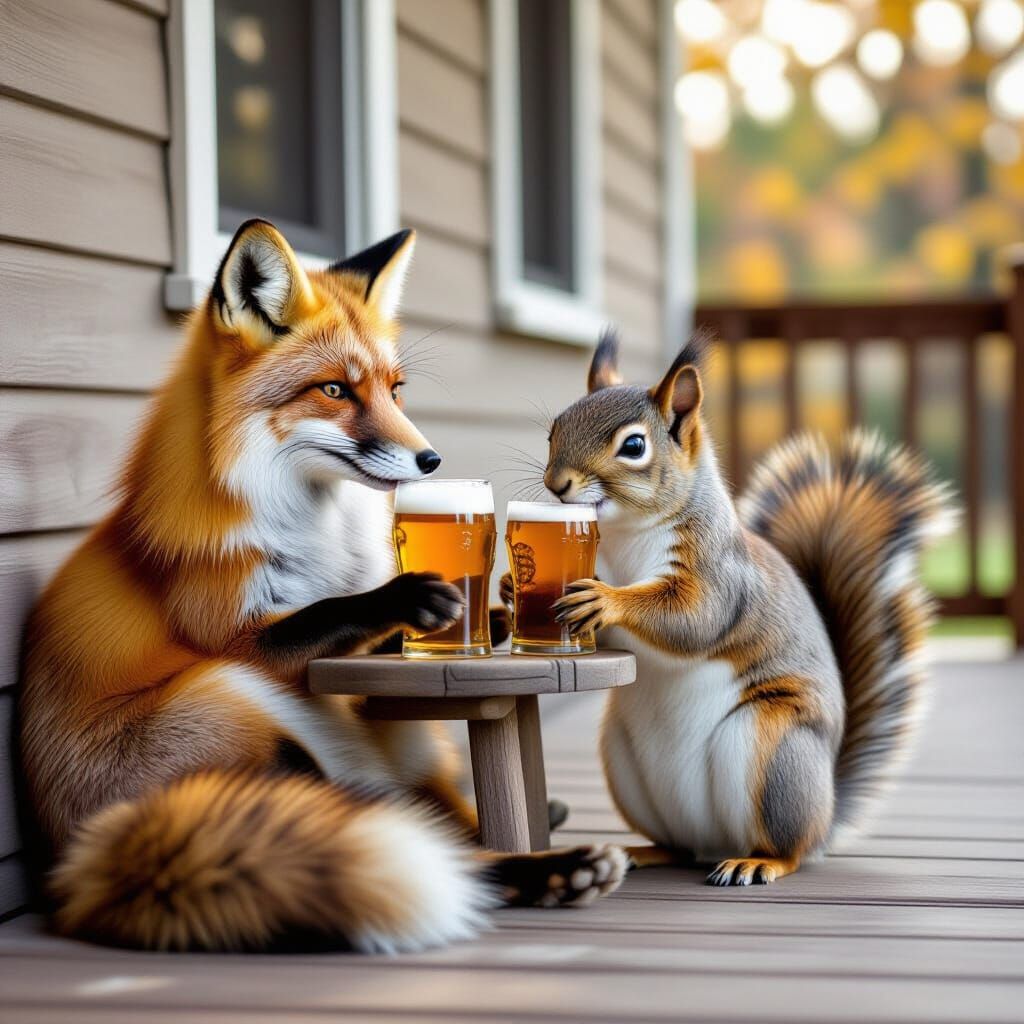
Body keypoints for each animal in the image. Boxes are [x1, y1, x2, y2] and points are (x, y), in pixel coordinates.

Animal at [18, 220, 625, 953]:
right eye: (335, 391)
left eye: (395, 389)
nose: (432, 461)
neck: (320, 528)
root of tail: (75, 869)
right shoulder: (237, 640)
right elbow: (326, 612)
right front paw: (407, 597)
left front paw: (496, 614)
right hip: (235, 706)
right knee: (420, 846)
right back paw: (552, 870)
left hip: (402, 746)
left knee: (425, 823)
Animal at [535, 329, 951, 885]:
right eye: (553, 431)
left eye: (634, 446)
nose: (556, 484)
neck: (625, 537)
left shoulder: (722, 577)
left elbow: (693, 618)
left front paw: (608, 599)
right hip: (624, 765)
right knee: (677, 845)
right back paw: (646, 850)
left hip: (773, 749)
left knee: (789, 846)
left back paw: (758, 861)